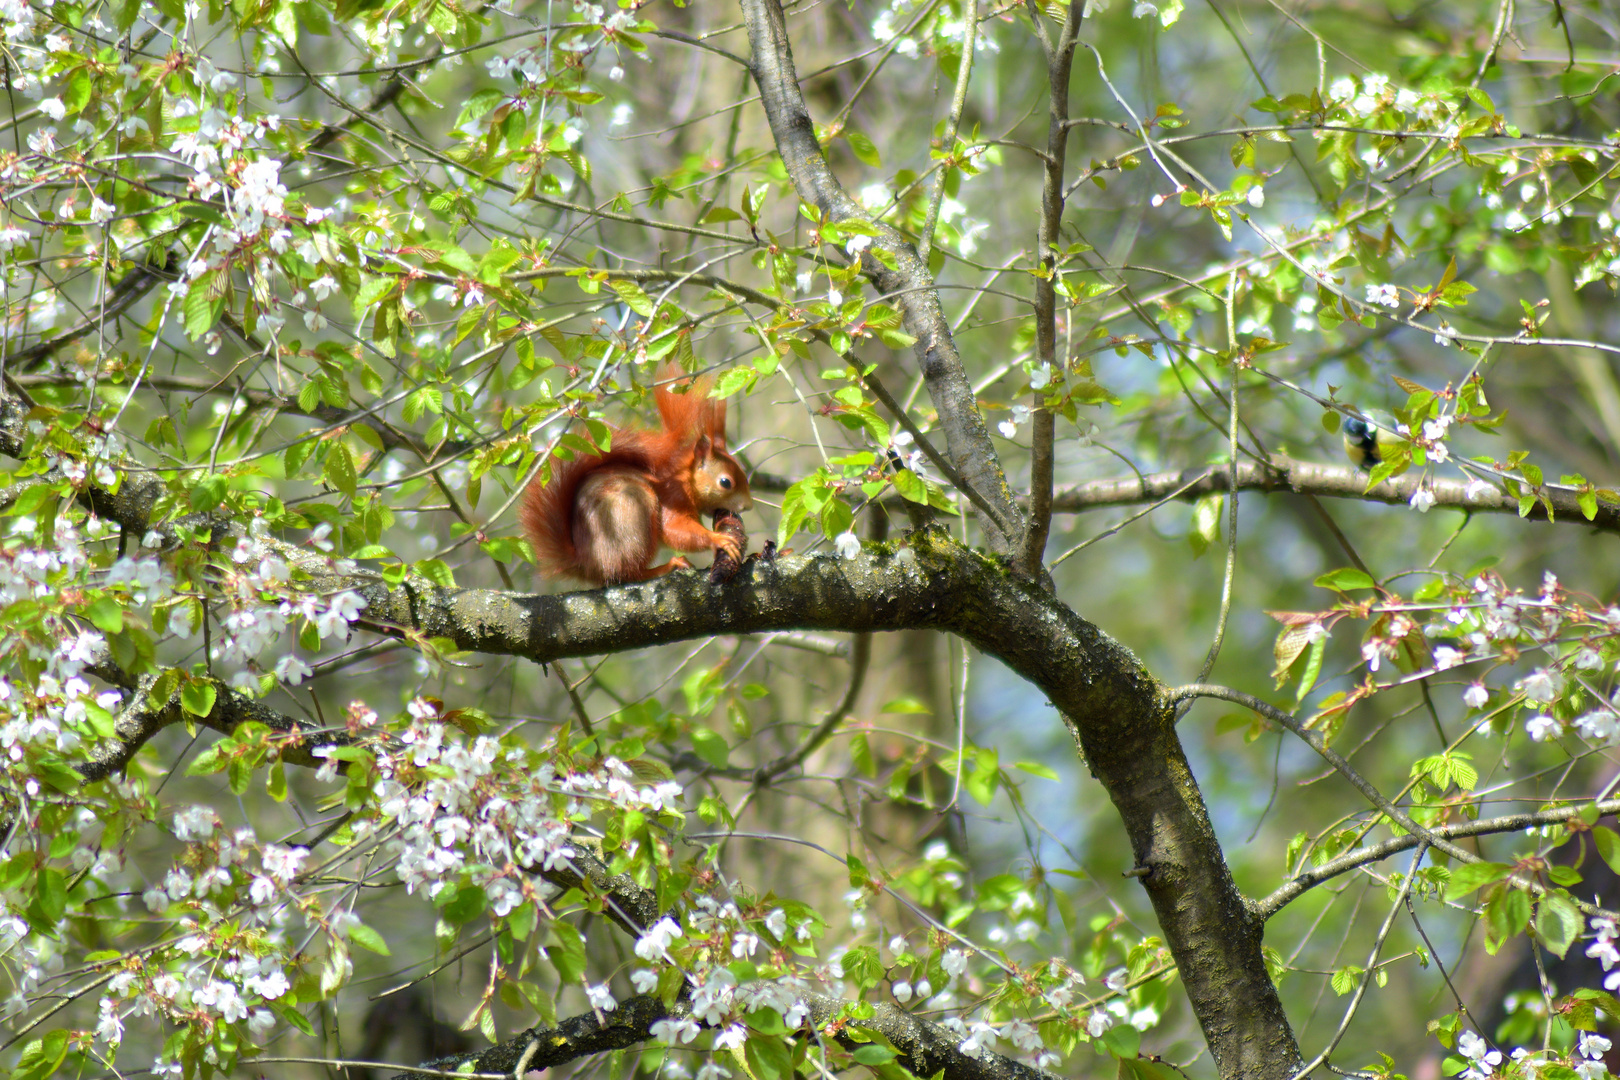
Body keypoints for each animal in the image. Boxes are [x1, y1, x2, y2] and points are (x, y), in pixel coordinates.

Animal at [518, 375, 751, 586]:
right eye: (725, 482)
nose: (748, 506)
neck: (686, 480)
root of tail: (586, 565)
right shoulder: (674, 497)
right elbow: (675, 531)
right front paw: (719, 539)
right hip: (631, 516)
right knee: (628, 574)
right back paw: (666, 567)